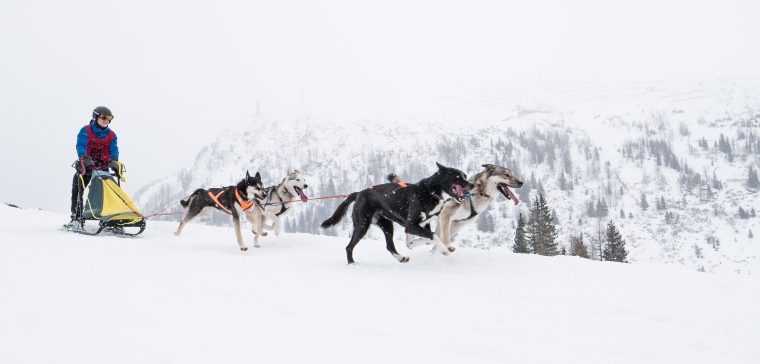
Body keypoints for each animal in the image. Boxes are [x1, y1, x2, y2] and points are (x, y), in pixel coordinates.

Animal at [320, 163, 472, 264]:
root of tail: (359, 193)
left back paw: (401, 258)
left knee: (389, 246)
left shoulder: (422, 225)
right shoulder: (411, 225)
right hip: (362, 225)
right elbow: (433, 236)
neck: (431, 192)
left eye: (465, 176)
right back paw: (352, 263)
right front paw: (445, 250)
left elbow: (422, 240)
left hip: (387, 225)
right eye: (458, 177)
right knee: (349, 246)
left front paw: (442, 247)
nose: (471, 185)